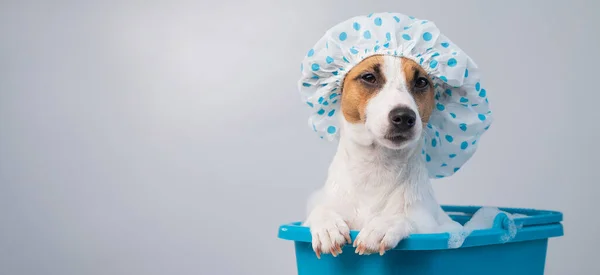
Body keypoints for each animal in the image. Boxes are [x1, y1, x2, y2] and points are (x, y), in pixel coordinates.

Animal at [302, 54, 462, 258]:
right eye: (369, 77)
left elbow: (405, 218)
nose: (404, 117)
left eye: (421, 82)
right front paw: (327, 226)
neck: (376, 167)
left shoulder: (436, 226)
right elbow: (320, 209)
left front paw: (384, 226)